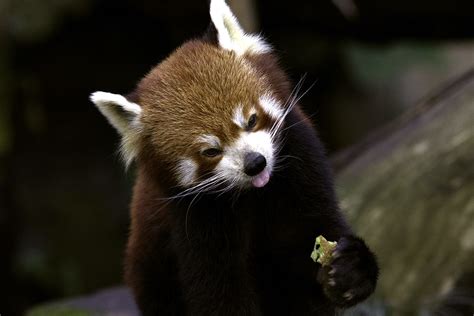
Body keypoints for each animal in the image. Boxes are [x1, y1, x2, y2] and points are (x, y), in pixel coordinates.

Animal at [90, 1, 378, 314]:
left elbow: (314, 237)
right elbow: (219, 290)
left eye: (251, 120)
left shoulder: (303, 166)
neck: (254, 195)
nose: (255, 163)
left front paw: (349, 270)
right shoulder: (196, 219)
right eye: (211, 151)